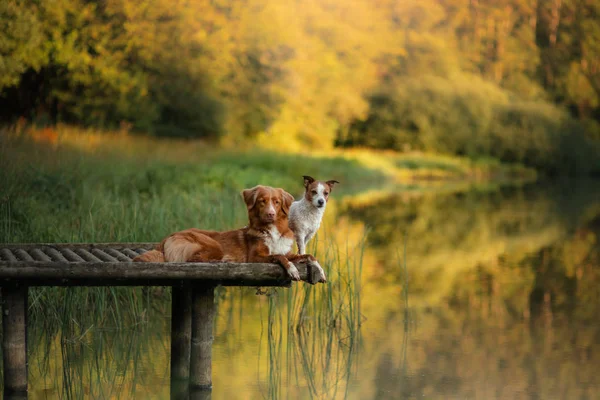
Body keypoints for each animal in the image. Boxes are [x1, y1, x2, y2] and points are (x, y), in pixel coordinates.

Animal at [135, 186, 328, 282]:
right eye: (262, 201)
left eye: (276, 202)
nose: (270, 214)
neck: (272, 230)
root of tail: (168, 237)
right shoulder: (255, 257)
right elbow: (280, 257)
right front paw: (293, 270)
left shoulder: (288, 251)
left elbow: (309, 256)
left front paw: (321, 271)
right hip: (211, 244)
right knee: (192, 260)